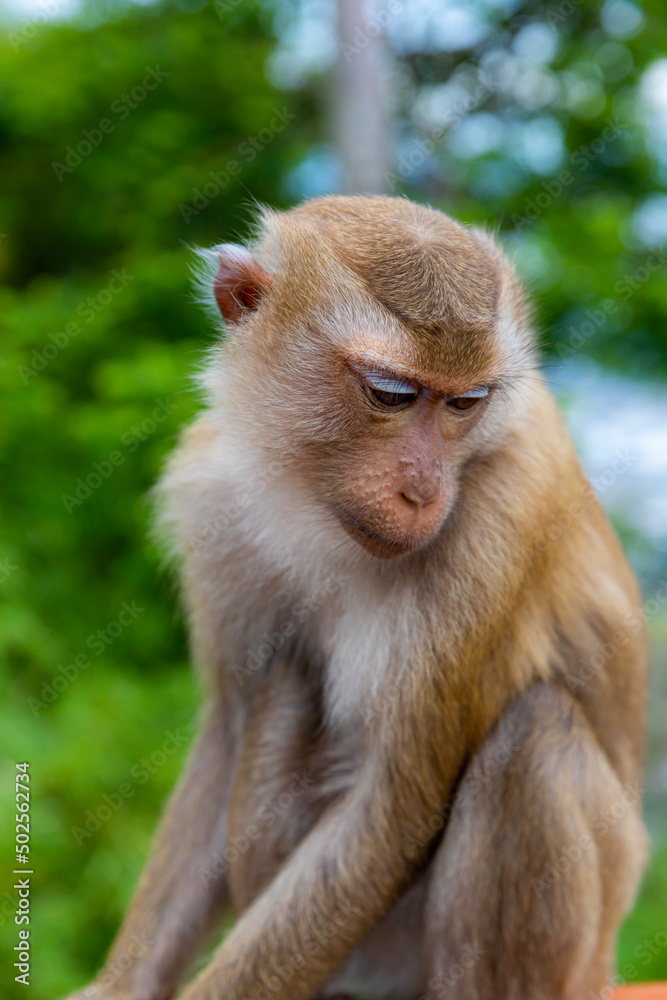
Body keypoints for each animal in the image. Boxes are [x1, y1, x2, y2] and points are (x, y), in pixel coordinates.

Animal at [68, 195, 648, 1000]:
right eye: (390, 395)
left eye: (466, 402)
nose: (423, 490)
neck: (316, 503)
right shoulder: (213, 494)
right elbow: (225, 737)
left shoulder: (501, 513)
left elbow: (393, 806)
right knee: (285, 680)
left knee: (533, 738)